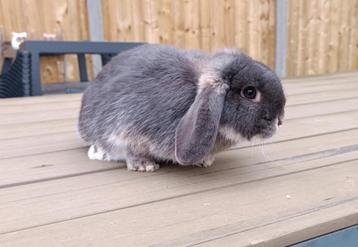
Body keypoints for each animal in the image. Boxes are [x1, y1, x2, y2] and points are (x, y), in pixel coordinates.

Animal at [78, 44, 286, 172]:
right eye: (250, 92)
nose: (280, 120)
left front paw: (204, 161)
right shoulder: (124, 128)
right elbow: (129, 149)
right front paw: (144, 165)